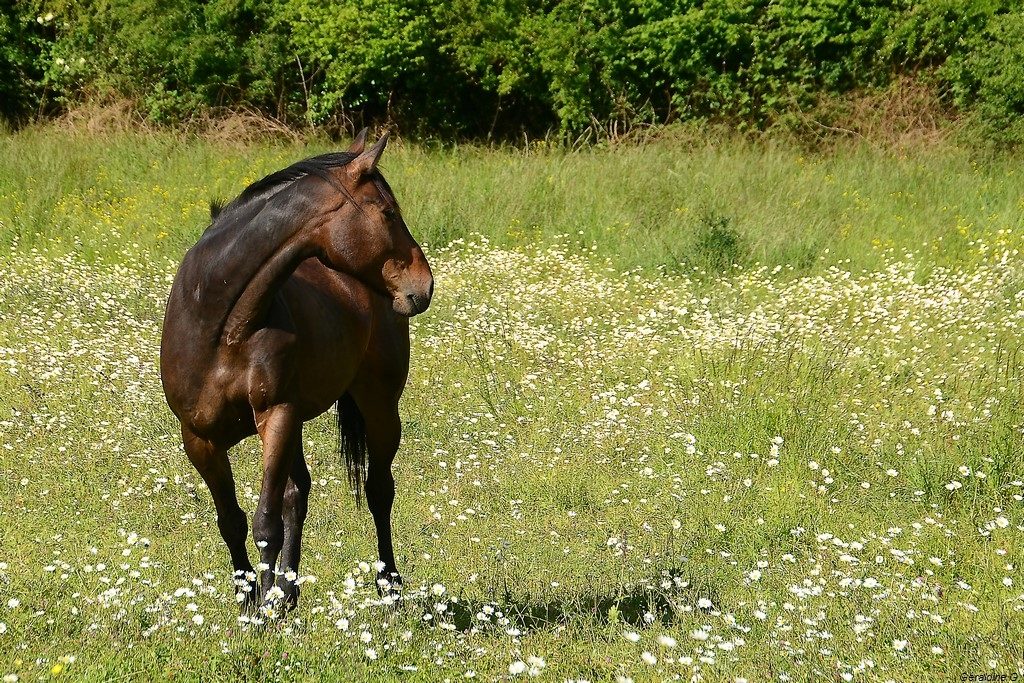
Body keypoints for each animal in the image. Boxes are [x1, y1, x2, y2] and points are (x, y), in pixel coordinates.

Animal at [159, 130, 433, 612]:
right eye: (388, 213)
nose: (424, 285)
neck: (220, 322)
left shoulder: (277, 416)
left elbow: (266, 520)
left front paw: (264, 608)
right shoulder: (199, 438)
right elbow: (232, 520)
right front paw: (250, 599)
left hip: (378, 406)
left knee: (378, 490)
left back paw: (388, 586)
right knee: (298, 493)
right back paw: (287, 590)